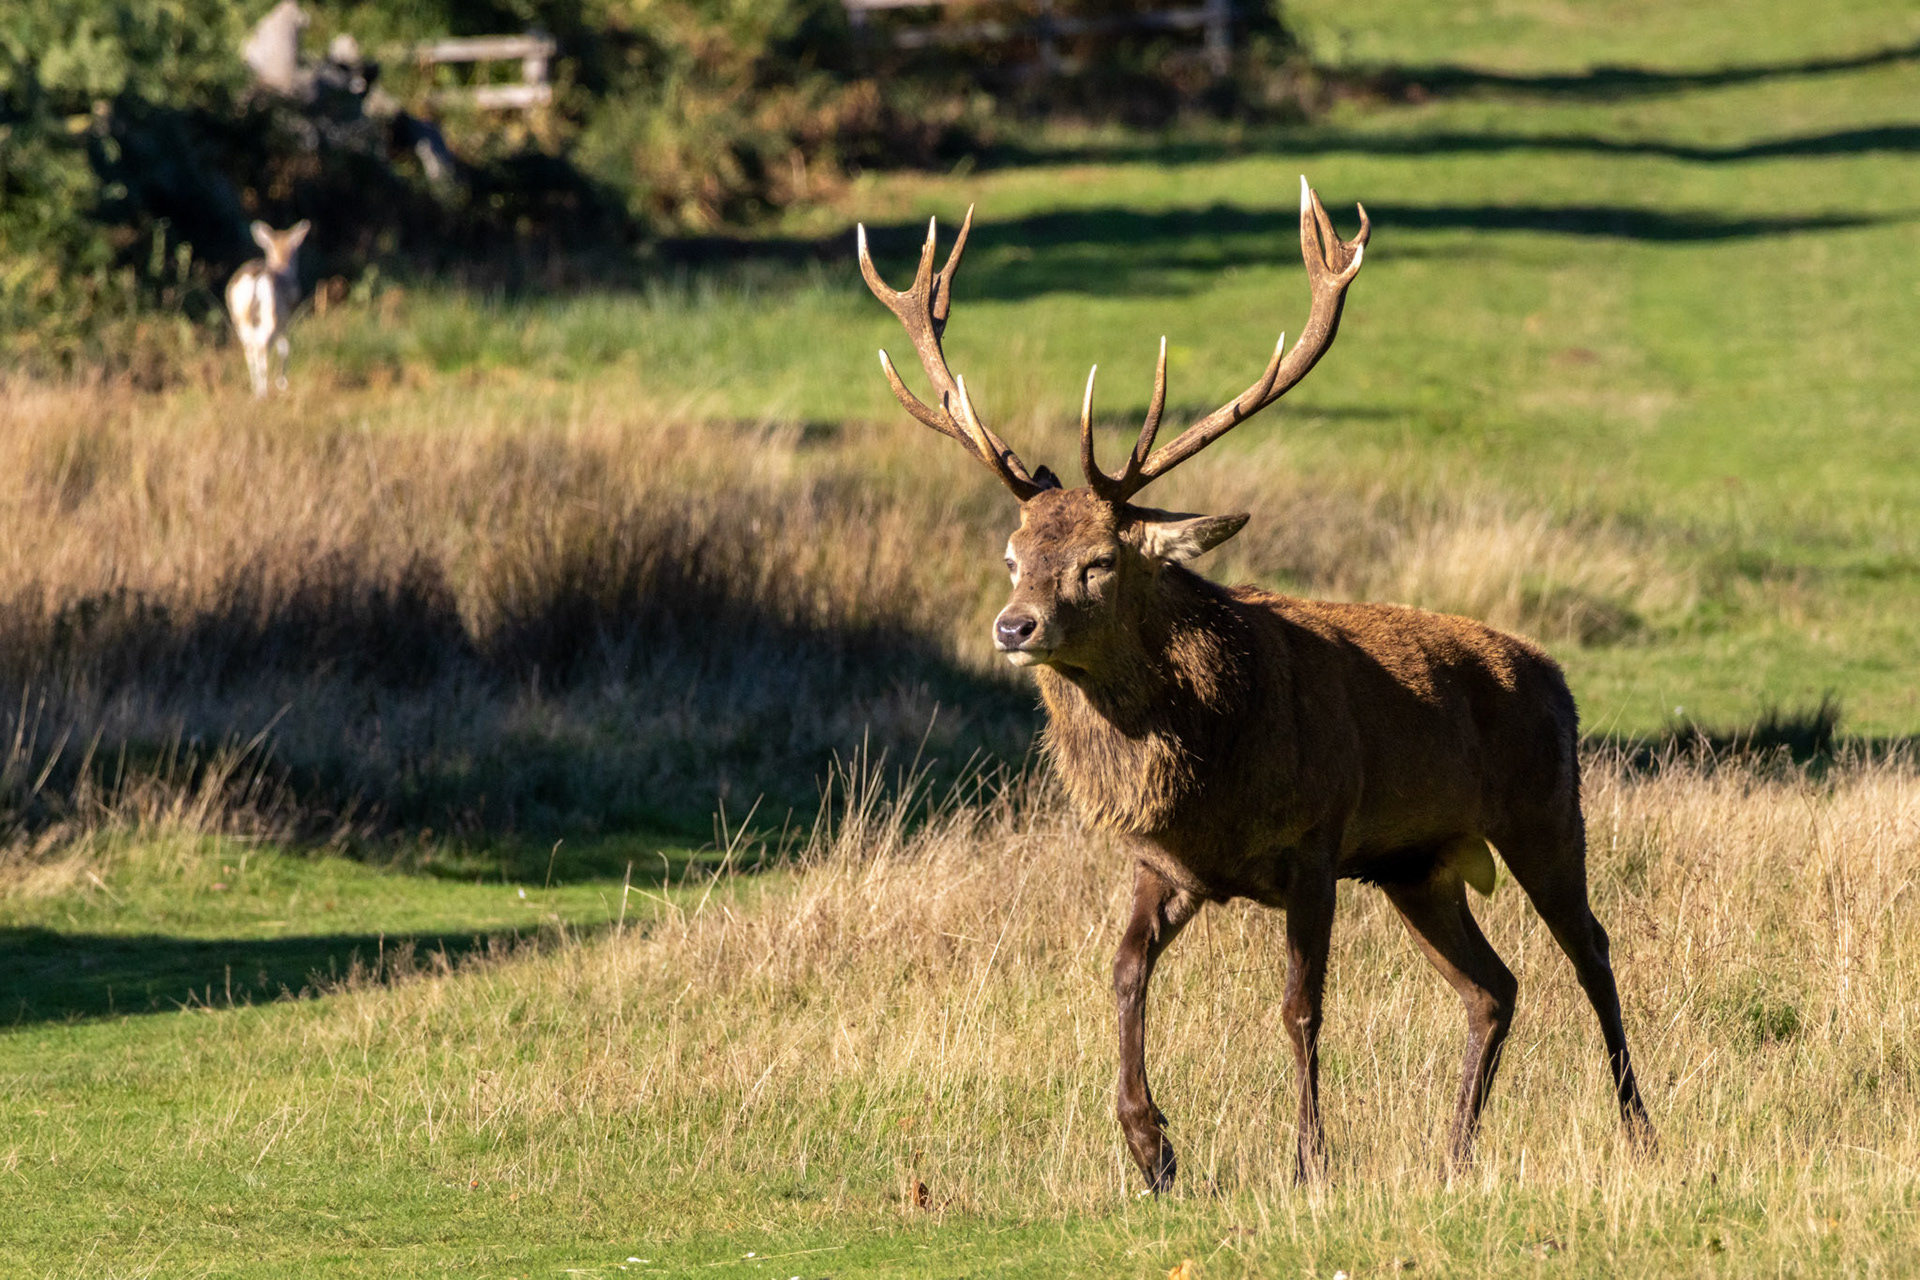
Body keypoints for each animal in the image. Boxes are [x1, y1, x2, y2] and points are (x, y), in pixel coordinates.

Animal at [225, 220, 310, 398]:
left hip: (240, 319)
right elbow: (285, 348)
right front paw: (282, 383)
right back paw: (262, 392)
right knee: (262, 346)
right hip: (271, 317)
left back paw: (255, 388)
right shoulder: (287, 321)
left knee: (249, 348)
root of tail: (255, 278)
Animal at [855, 177, 1654, 1190]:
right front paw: (1151, 1147)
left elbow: (1300, 1005)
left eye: (1099, 561)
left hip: (1544, 810)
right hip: (1419, 866)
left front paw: (1310, 1157)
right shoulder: (1167, 862)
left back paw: (1639, 1130)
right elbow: (1123, 970)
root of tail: (1554, 678)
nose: (1013, 627)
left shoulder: (1316, 841)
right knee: (1493, 987)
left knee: (1592, 952)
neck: (1211, 774)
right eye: (1012, 555)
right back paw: (1454, 1152)